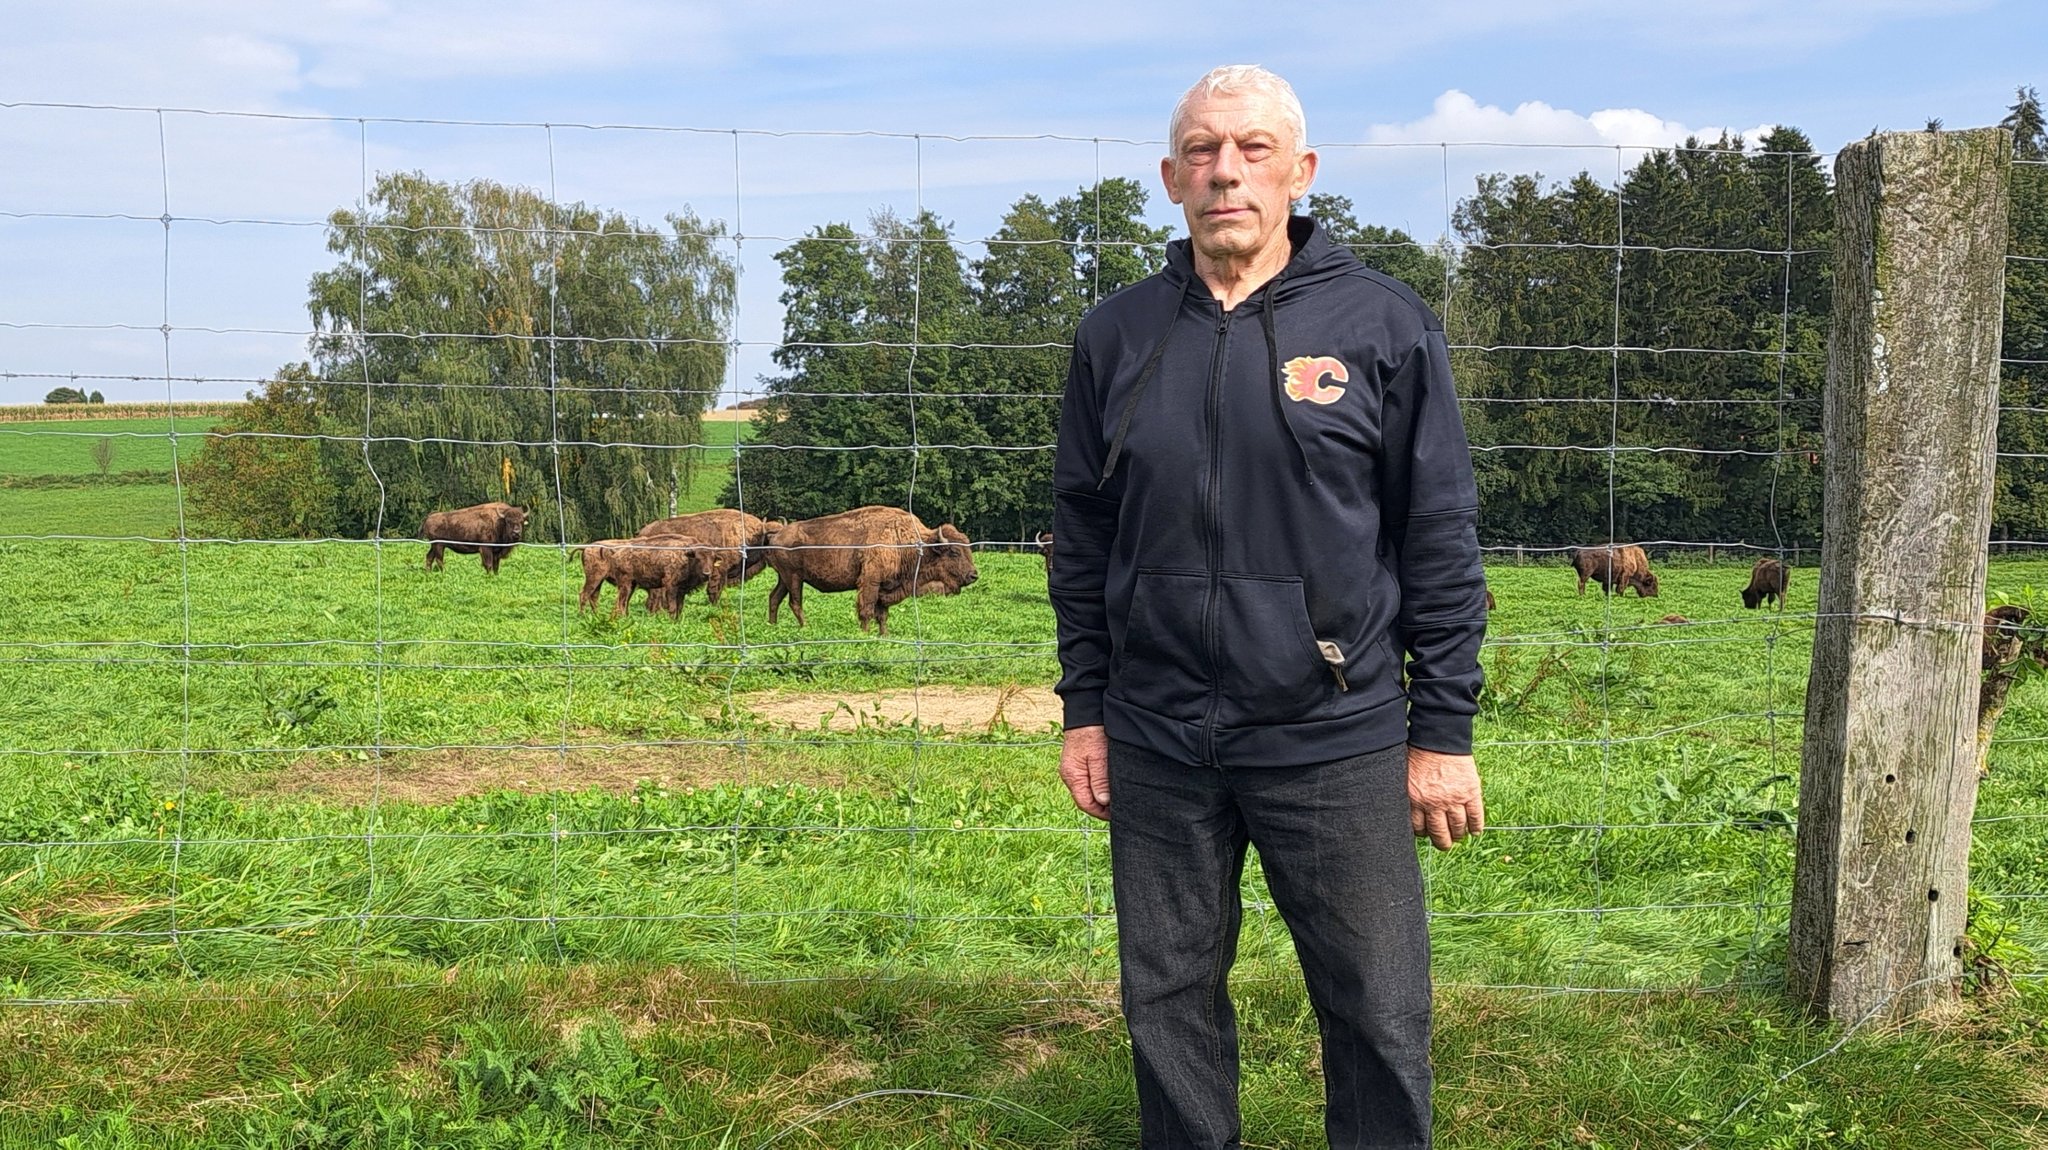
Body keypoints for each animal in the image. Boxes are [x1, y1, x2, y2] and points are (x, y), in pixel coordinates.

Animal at [577, 536, 712, 617]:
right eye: (698, 558)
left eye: (713, 557)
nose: (707, 574)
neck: (686, 556)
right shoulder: (669, 585)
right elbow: (671, 606)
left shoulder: (681, 590)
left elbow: (679, 607)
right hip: (599, 578)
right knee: (586, 595)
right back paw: (583, 616)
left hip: (609, 582)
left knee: (596, 597)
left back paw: (598, 615)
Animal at [765, 505, 978, 634]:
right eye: (954, 552)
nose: (973, 575)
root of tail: (777, 535)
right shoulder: (870, 582)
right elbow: (866, 610)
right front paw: (865, 634)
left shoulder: (886, 586)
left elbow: (882, 614)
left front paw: (884, 635)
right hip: (794, 578)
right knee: (795, 603)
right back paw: (807, 628)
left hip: (784, 578)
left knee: (774, 598)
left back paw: (772, 626)